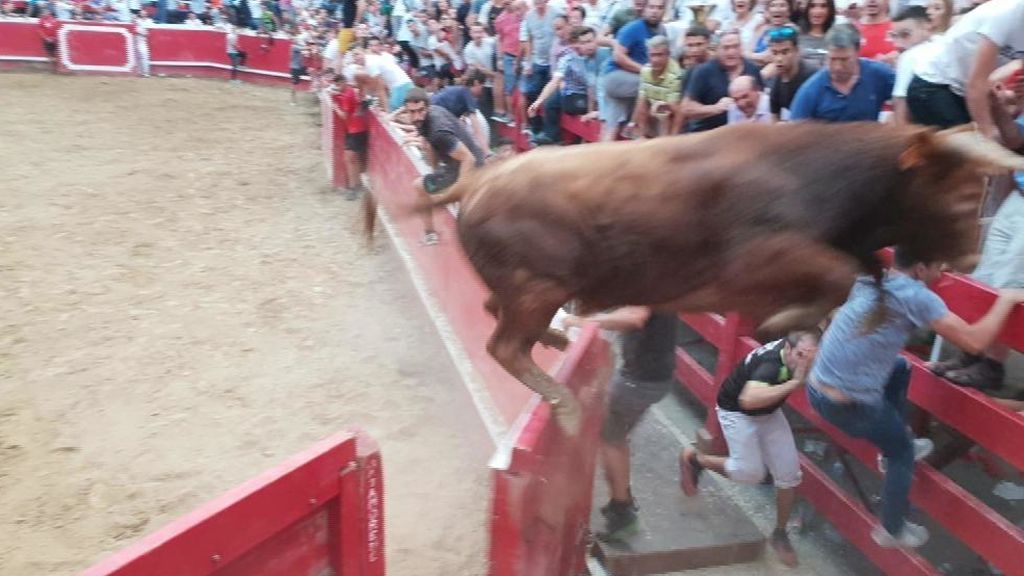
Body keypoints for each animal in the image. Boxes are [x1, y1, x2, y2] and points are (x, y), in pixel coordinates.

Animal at [423, 123, 1024, 432]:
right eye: (964, 195)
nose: (968, 260)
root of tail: (483, 180)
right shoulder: (754, 260)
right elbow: (839, 273)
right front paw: (784, 322)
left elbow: (855, 278)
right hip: (538, 287)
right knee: (503, 345)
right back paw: (566, 406)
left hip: (530, 290)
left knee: (495, 316)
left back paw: (555, 341)